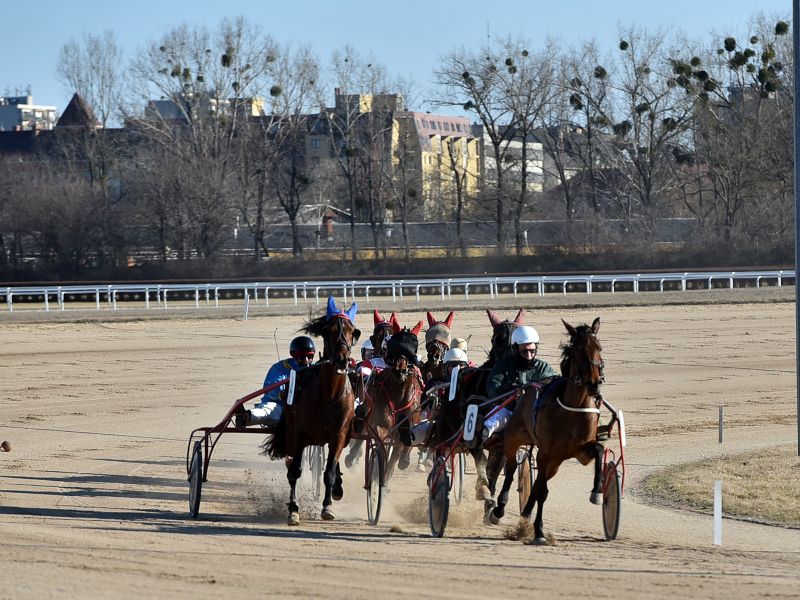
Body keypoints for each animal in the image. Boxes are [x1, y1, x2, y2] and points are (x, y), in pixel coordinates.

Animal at [262, 296, 362, 524]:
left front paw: (328, 506)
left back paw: (338, 488)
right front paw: (293, 509)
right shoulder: (298, 434)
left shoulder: (339, 434)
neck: (329, 396)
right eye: (329, 330)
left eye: (352, 331)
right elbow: (294, 471)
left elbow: (330, 471)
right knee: (291, 464)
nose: (342, 359)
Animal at [488, 316, 608, 548]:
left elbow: (598, 449)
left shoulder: (581, 451)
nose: (594, 383)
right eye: (578, 349)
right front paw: (539, 531)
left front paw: (597, 492)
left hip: (555, 463)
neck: (572, 408)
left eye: (598, 347)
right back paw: (499, 509)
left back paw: (525, 517)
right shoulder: (546, 453)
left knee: (535, 485)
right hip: (514, 439)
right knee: (510, 469)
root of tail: (526, 388)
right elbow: (542, 492)